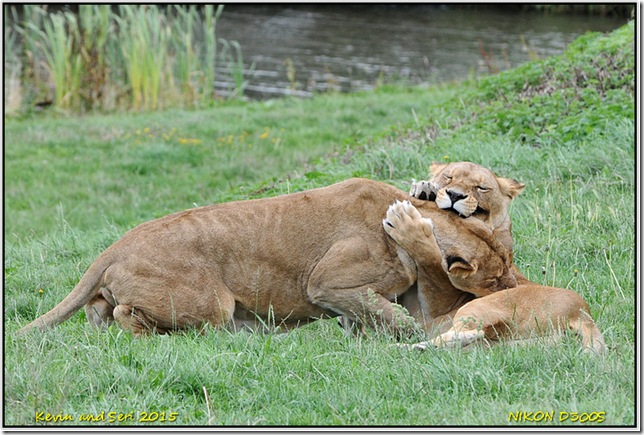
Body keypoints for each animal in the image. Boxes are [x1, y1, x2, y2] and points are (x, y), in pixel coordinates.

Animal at [382, 201, 604, 354]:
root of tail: (581, 312)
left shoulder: (436, 304)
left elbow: (430, 255)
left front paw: (404, 221)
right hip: (510, 344)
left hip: (474, 309)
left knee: (459, 335)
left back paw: (396, 348)